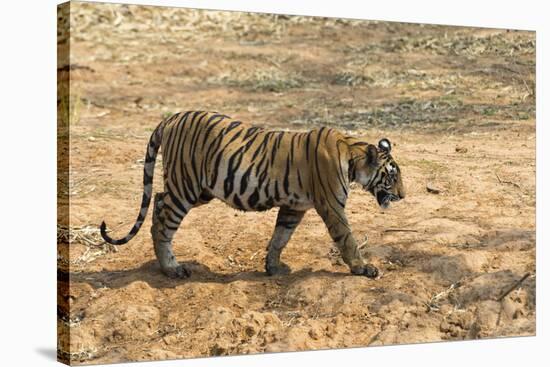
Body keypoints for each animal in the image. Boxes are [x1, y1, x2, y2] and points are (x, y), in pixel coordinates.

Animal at [101, 111, 408, 278]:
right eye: (392, 176)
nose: (404, 196)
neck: (352, 154)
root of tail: (172, 117)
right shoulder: (332, 206)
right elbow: (347, 240)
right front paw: (363, 269)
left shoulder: (294, 207)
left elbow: (280, 237)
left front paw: (273, 267)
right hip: (186, 187)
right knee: (164, 220)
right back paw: (171, 269)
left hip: (198, 190)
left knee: (158, 201)